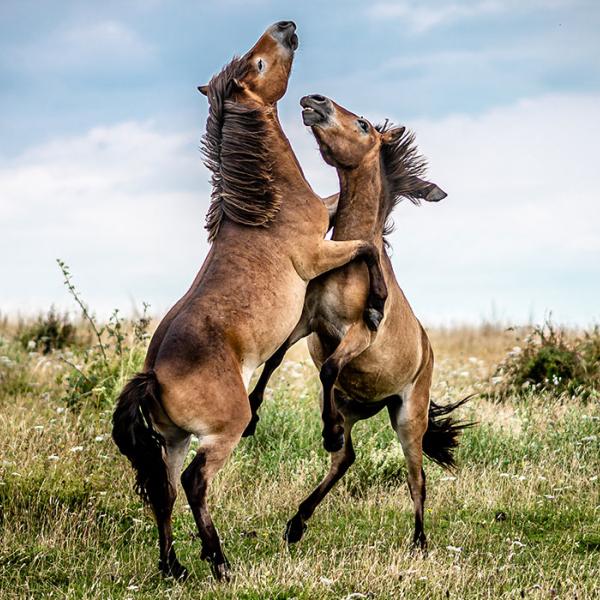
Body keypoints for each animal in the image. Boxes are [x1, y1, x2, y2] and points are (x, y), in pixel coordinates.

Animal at [111, 23, 390, 580]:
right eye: (259, 64)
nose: (287, 26)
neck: (267, 206)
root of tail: (153, 375)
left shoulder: (324, 220)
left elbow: (343, 208)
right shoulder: (317, 251)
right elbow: (366, 246)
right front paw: (375, 304)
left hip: (172, 441)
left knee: (164, 491)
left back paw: (175, 567)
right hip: (220, 434)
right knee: (195, 482)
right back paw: (218, 562)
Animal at [246, 95, 472, 552]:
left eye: (364, 125)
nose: (313, 100)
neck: (349, 267)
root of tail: (428, 352)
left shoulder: (358, 333)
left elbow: (330, 365)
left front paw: (324, 430)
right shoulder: (309, 321)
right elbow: (276, 359)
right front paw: (252, 414)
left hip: (408, 417)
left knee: (416, 478)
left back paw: (419, 541)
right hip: (353, 404)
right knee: (346, 458)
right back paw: (297, 522)